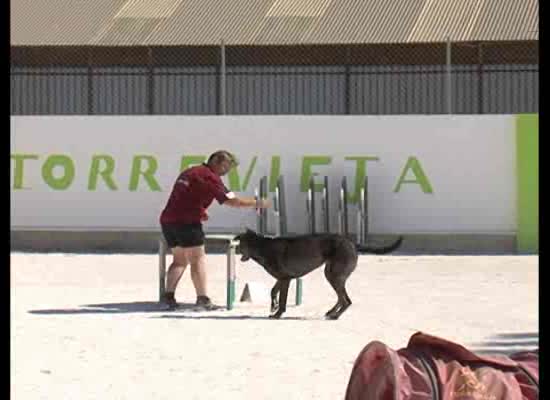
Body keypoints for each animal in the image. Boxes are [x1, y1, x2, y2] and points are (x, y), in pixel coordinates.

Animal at [235, 230, 404, 320]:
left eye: (240, 244)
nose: (234, 249)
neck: (263, 247)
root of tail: (351, 243)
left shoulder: (285, 279)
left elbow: (282, 300)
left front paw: (278, 313)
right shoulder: (282, 279)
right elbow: (272, 292)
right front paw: (273, 307)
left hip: (334, 275)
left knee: (346, 300)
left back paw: (335, 315)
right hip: (331, 274)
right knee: (342, 298)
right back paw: (331, 312)